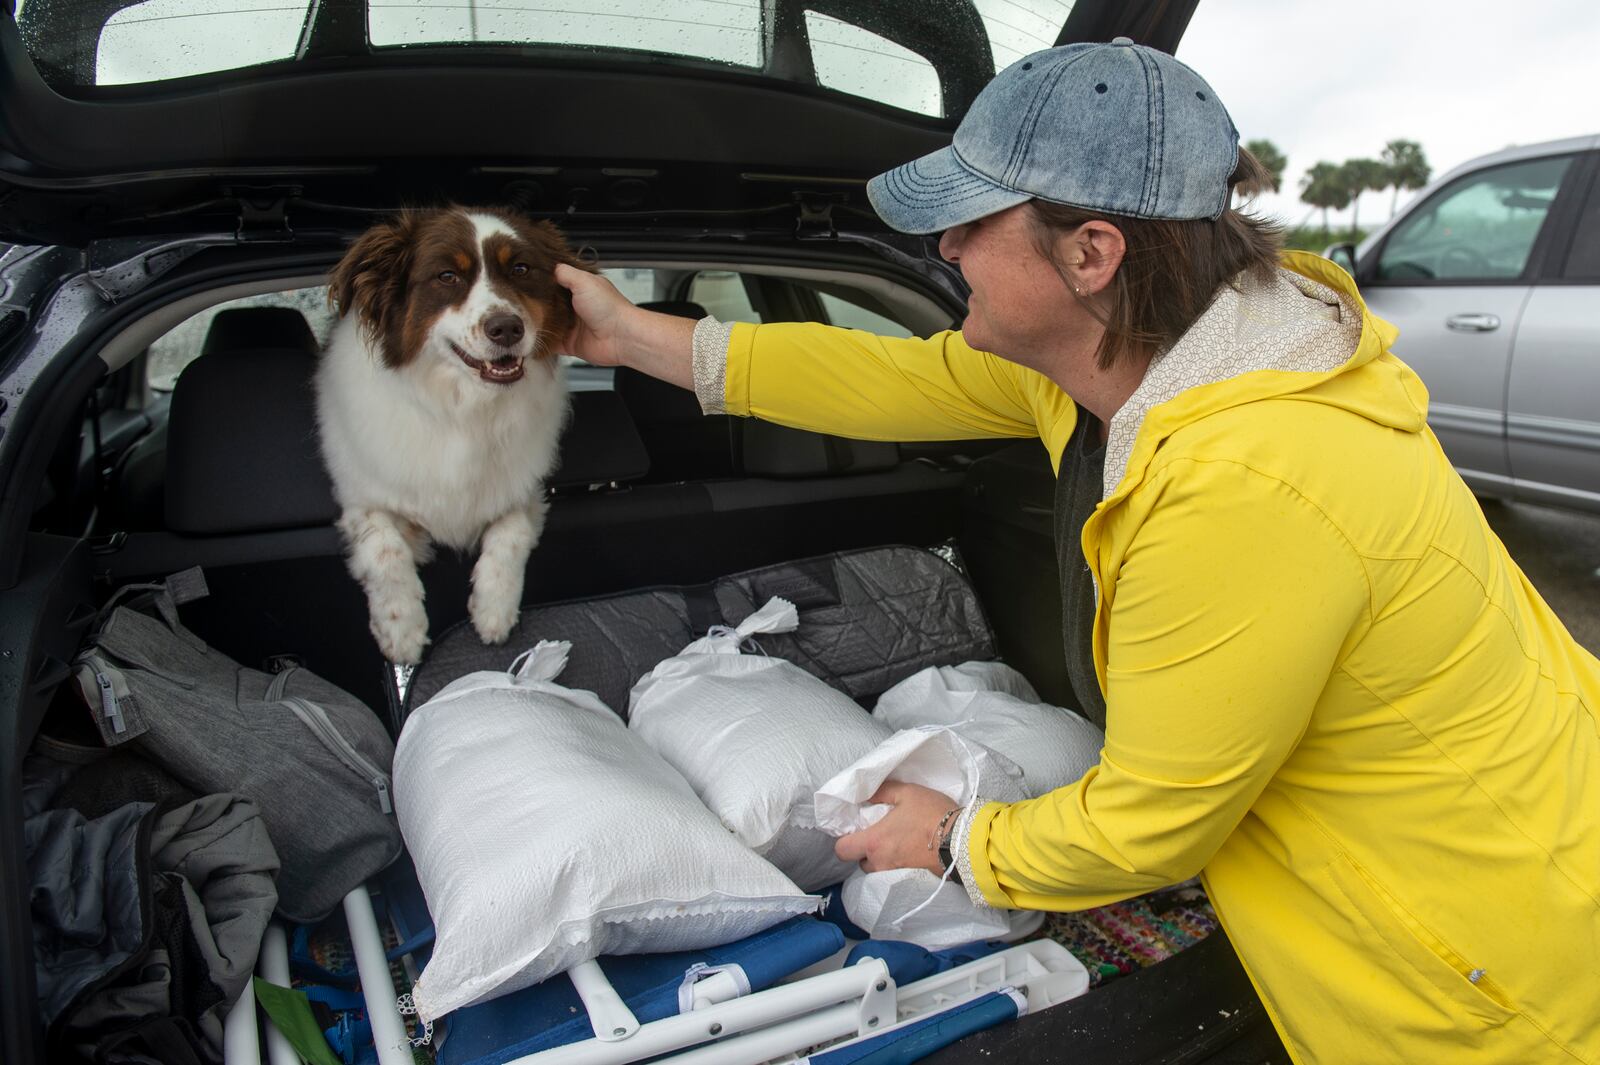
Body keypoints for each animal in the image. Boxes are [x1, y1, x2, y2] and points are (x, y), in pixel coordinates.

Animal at [313, 207, 588, 665]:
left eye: (520, 269)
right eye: (446, 276)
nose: (507, 328)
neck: (463, 406)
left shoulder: (522, 488)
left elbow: (510, 535)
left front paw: (493, 610)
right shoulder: (361, 497)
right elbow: (384, 548)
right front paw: (401, 629)